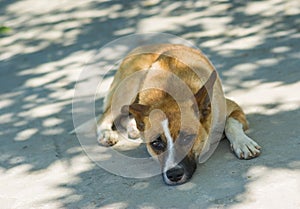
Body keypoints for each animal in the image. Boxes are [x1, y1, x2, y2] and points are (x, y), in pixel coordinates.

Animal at [96, 43, 260, 185]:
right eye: (156, 143)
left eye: (187, 138)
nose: (174, 174)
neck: (169, 93)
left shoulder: (233, 108)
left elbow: (231, 123)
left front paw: (243, 142)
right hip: (129, 88)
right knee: (105, 116)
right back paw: (106, 133)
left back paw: (133, 128)